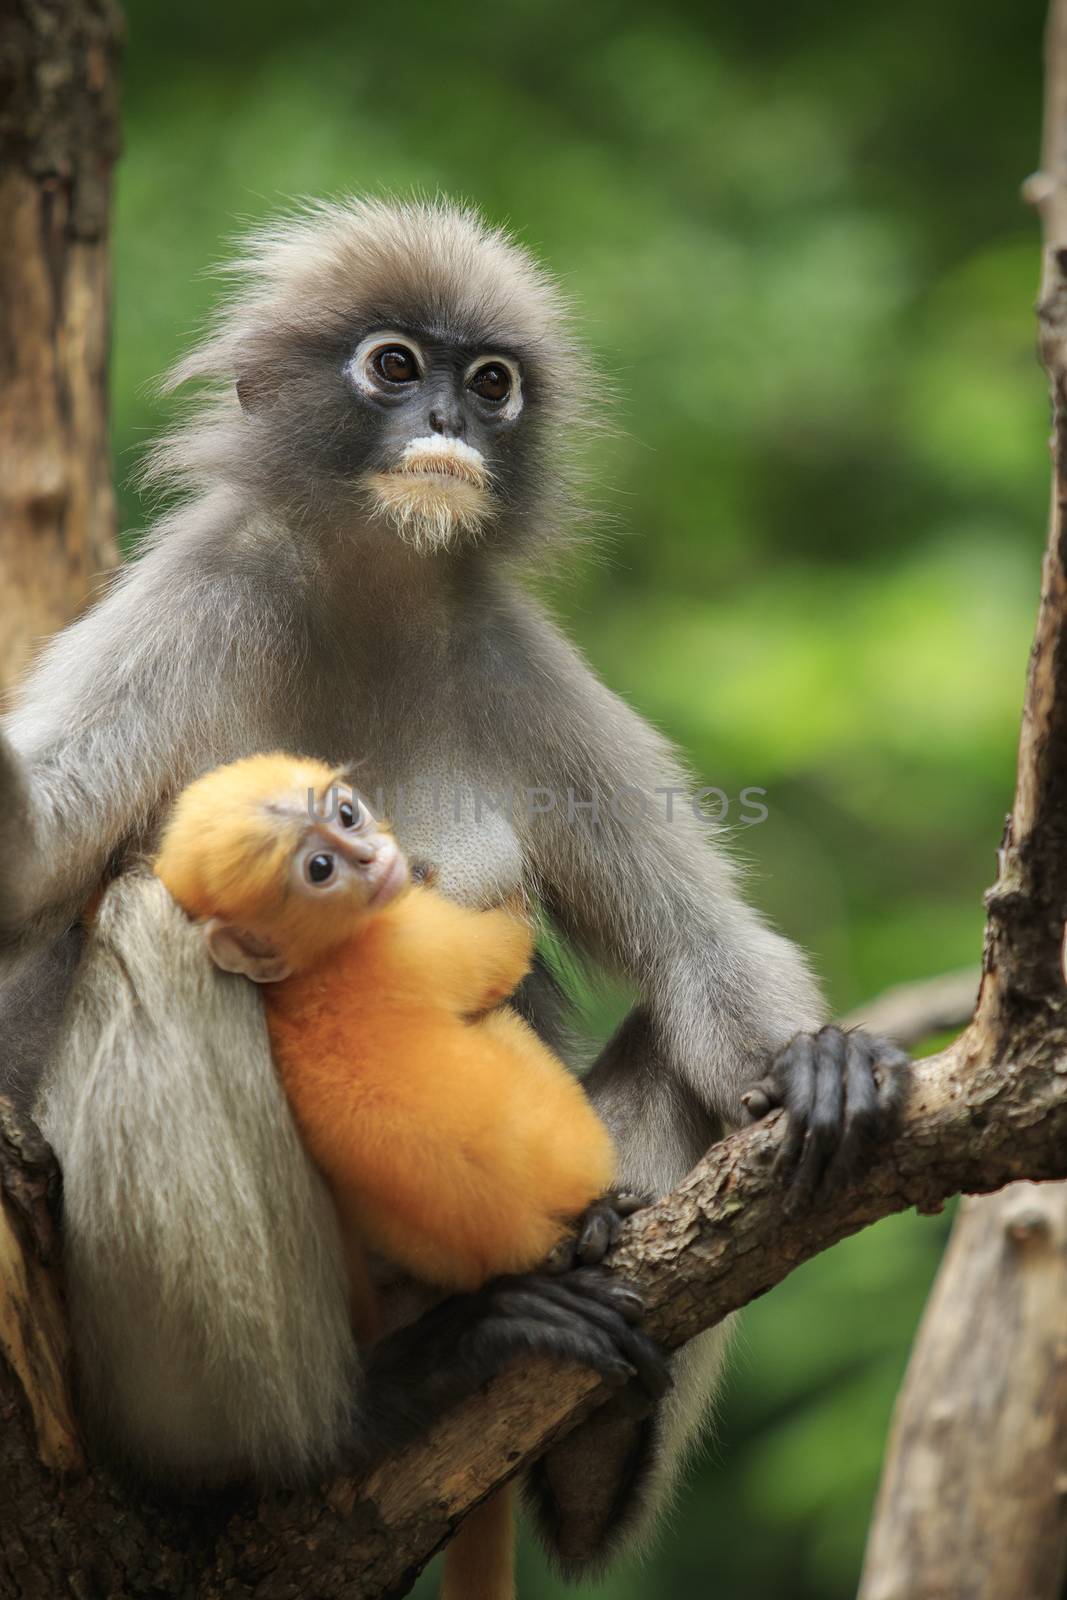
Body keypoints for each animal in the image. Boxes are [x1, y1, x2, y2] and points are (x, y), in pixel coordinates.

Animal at [151, 755, 617, 1600]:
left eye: (345, 814)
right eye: (320, 869)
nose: (376, 858)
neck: (303, 976)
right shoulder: (412, 936)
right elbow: (502, 949)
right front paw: (503, 902)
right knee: (498, 1019)